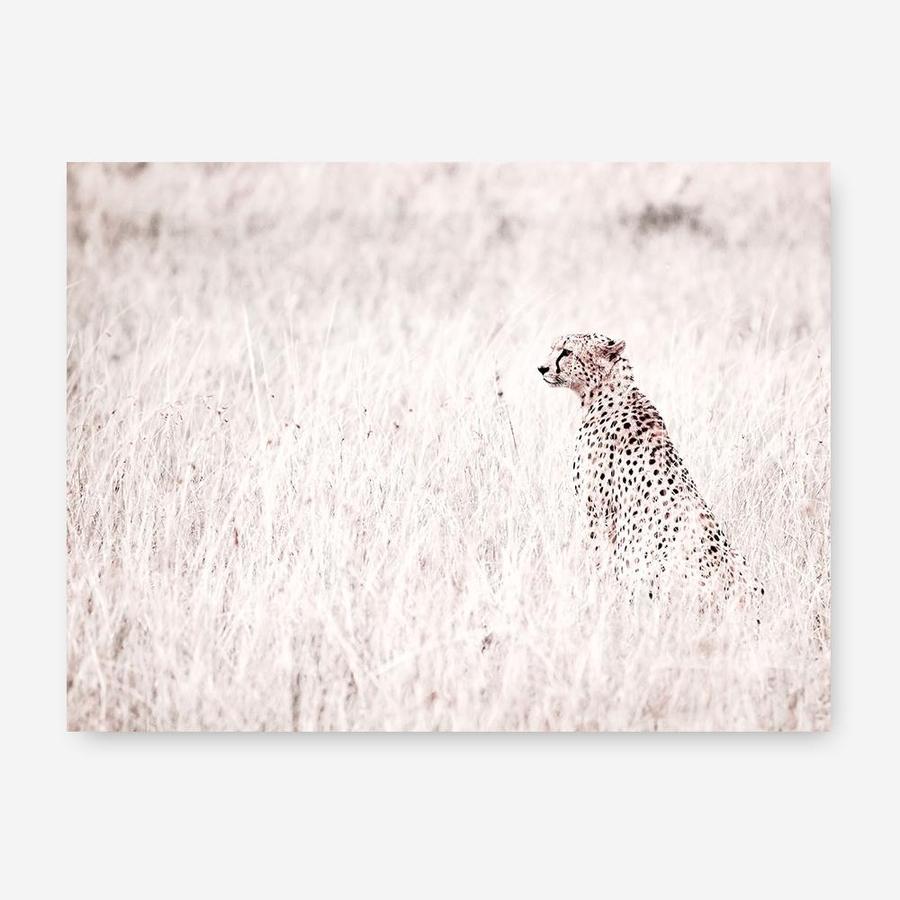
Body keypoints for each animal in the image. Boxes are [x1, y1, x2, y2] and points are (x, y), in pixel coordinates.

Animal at [538, 332, 763, 610]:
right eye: (553, 348)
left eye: (567, 352)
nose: (541, 368)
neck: (606, 393)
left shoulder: (596, 510)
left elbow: (595, 555)